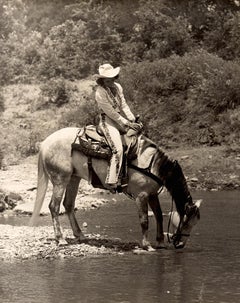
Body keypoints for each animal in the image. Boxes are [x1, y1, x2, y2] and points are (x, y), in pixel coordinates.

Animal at [29, 127, 202, 251]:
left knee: (68, 205)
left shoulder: (153, 194)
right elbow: (144, 220)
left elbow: (159, 216)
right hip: (60, 179)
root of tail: (45, 143)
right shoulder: (141, 195)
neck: (152, 164)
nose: (180, 244)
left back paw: (80, 235)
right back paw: (61, 239)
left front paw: (160, 242)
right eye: (187, 222)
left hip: (73, 178)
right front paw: (147, 245)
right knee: (54, 206)